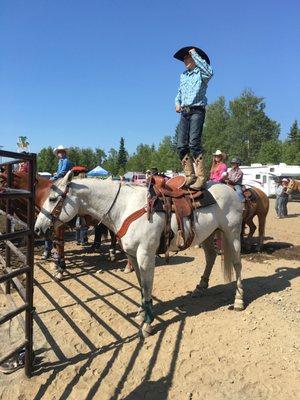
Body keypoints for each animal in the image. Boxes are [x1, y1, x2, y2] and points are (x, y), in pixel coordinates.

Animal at [35, 172, 245, 338]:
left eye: (52, 199)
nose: (38, 228)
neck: (125, 207)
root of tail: (229, 189)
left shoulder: (145, 255)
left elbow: (147, 285)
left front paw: (148, 324)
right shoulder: (132, 255)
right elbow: (141, 286)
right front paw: (142, 313)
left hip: (232, 234)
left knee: (237, 263)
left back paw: (239, 300)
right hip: (208, 234)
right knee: (210, 256)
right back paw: (200, 288)